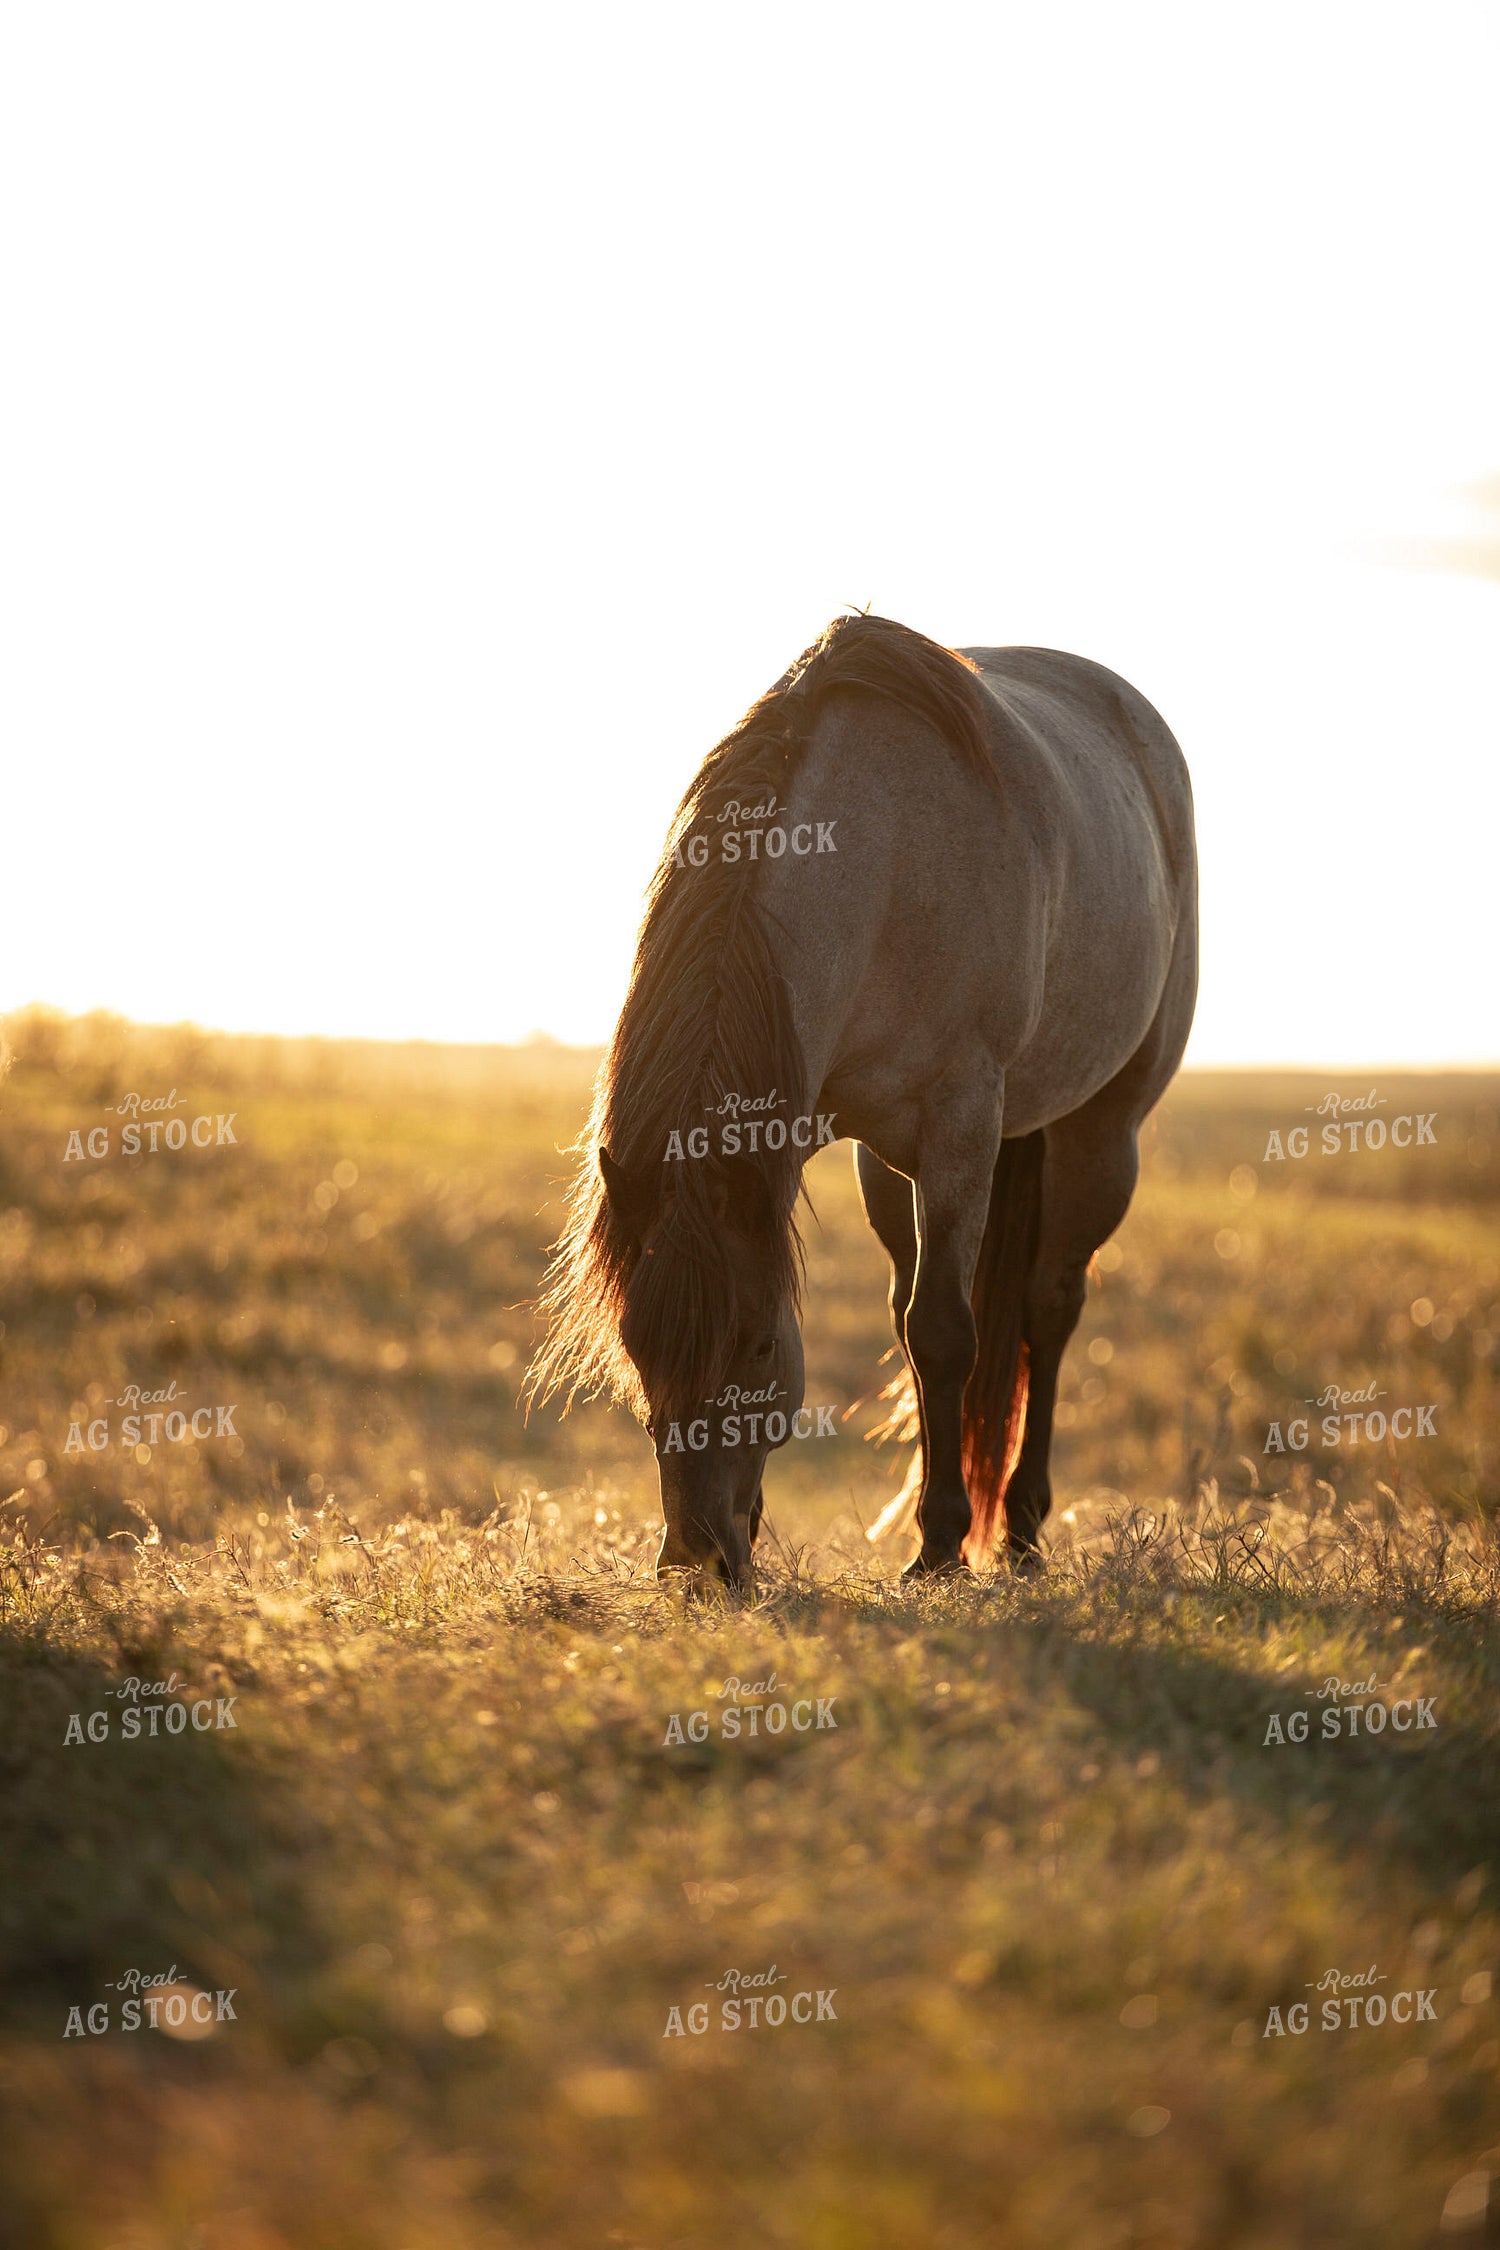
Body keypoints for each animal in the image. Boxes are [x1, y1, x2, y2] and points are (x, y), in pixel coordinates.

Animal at [527, 614, 1197, 1592]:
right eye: (638, 1345)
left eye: (759, 1346)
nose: (696, 1558)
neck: (881, 873)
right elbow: (914, 1329)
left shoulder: (961, 1127)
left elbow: (946, 1331)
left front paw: (941, 1546)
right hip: (889, 1164)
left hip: (1101, 1134)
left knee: (1048, 1307)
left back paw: (1022, 1532)